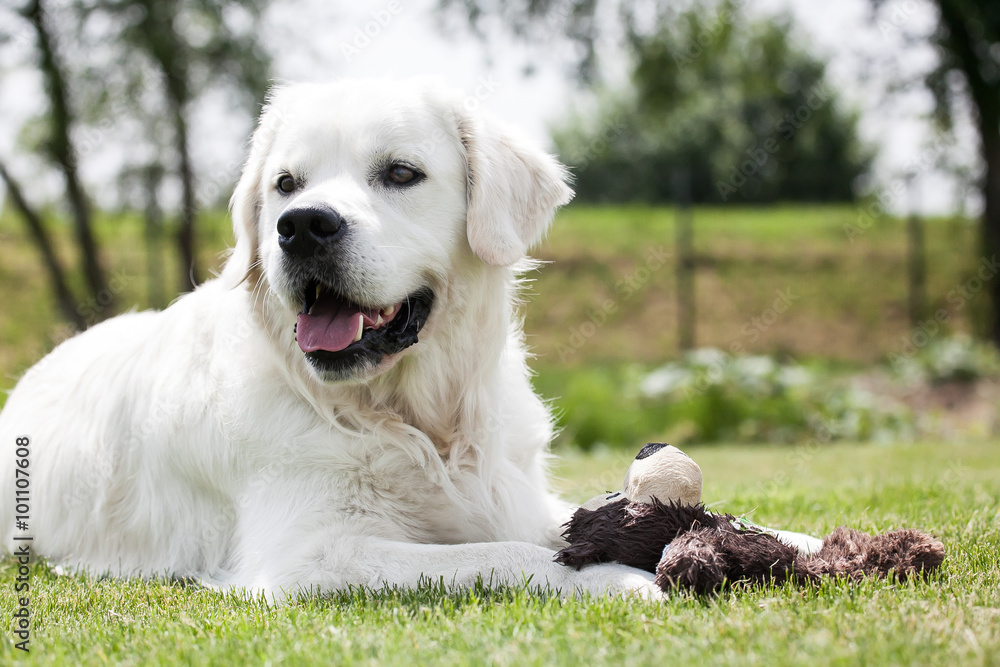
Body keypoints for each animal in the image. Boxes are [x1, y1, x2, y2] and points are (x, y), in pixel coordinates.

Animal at [0, 79, 812, 604]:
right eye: (285, 184)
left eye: (399, 172)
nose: (303, 226)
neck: (413, 417)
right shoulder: (308, 555)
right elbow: (510, 555)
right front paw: (621, 576)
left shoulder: (513, 493)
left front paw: (796, 545)